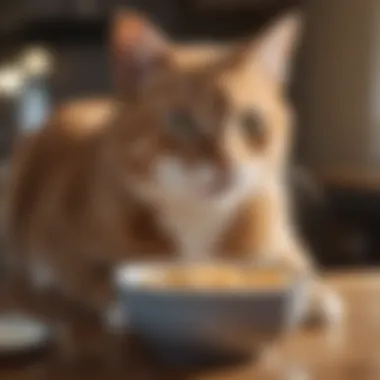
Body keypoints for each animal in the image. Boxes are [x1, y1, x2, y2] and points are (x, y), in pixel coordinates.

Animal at [7, 11, 342, 326]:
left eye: (251, 122)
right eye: (182, 122)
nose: (227, 162)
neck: (197, 217)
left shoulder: (279, 242)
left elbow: (296, 268)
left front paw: (313, 294)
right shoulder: (61, 244)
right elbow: (88, 272)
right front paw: (116, 299)